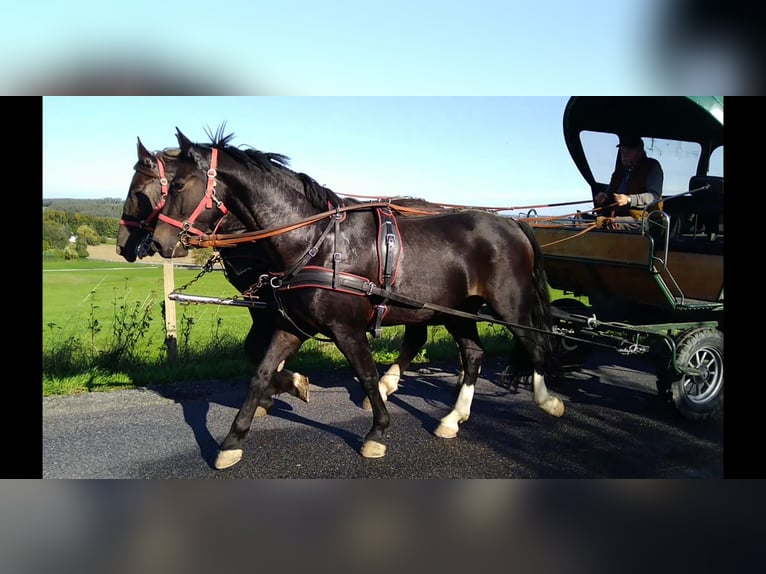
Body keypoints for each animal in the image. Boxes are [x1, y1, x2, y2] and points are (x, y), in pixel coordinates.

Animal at [152, 128, 564, 470]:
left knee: (536, 344)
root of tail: (512, 223)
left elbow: (366, 375)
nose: (157, 242)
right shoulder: (291, 326)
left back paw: (548, 401)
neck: (316, 241)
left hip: (509, 305)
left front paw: (377, 432)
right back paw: (452, 418)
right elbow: (260, 375)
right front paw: (232, 442)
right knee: (474, 354)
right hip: (457, 310)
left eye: (178, 184)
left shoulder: (346, 328)